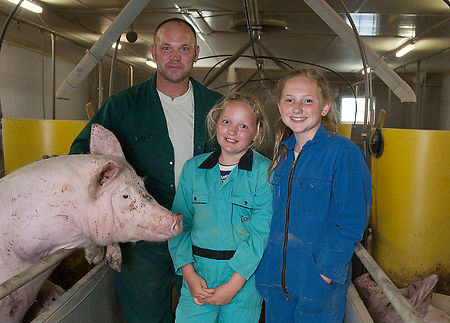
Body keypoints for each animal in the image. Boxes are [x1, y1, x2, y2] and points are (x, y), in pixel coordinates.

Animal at [0, 124, 183, 323]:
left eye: (143, 185)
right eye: (125, 196)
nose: (178, 218)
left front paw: (115, 264)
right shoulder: (30, 237)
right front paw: (96, 258)